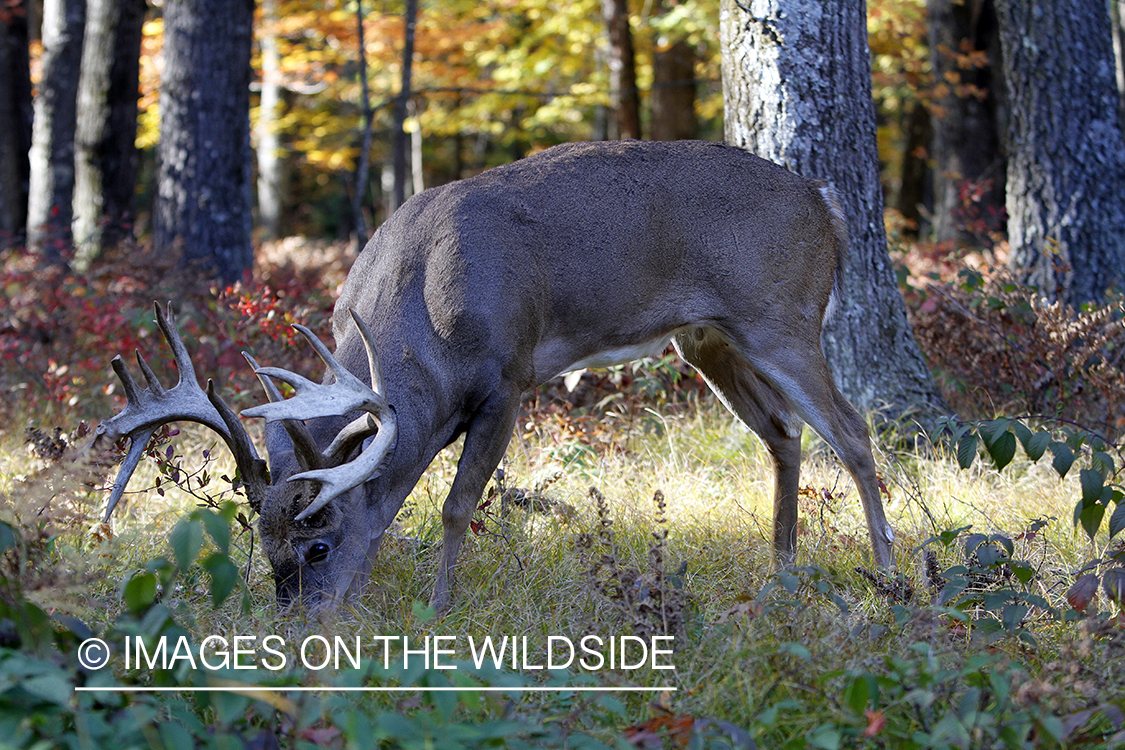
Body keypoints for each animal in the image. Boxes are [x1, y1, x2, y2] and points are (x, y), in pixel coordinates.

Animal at [96, 140, 900, 616]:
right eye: (265, 552)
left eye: (318, 546)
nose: (297, 628)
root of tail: (824, 200)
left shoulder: (508, 378)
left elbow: (454, 506)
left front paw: (437, 610)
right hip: (706, 339)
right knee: (784, 432)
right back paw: (781, 572)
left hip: (780, 315)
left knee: (854, 431)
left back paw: (888, 576)